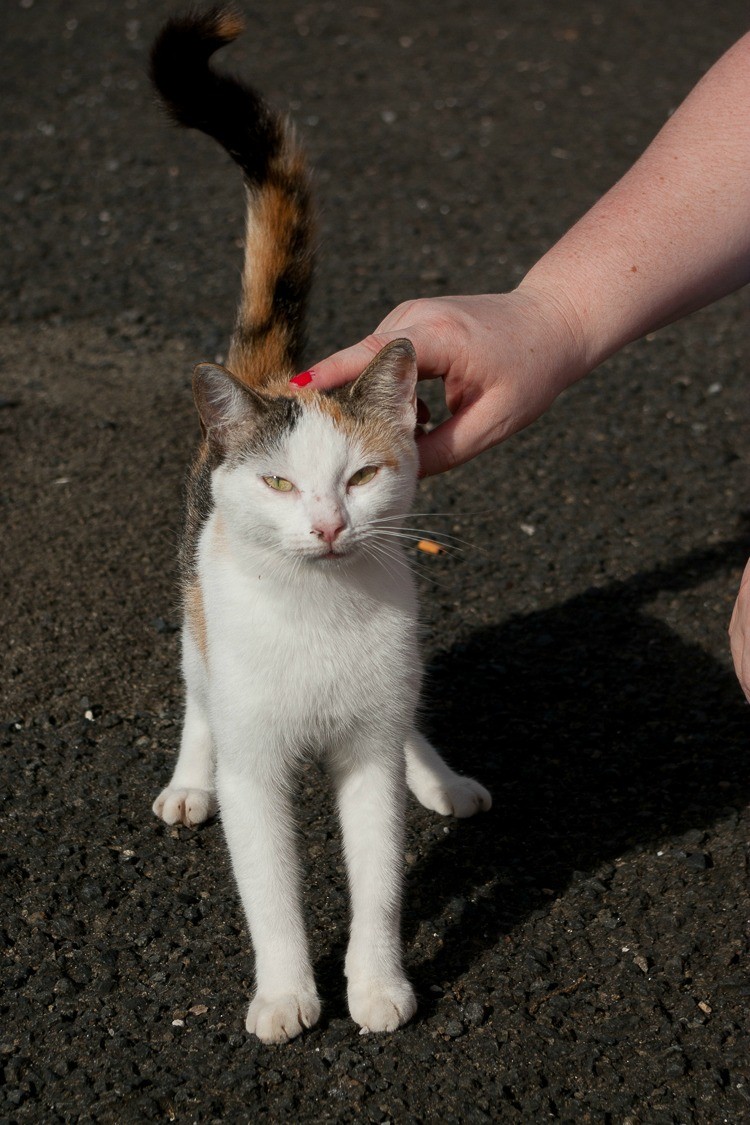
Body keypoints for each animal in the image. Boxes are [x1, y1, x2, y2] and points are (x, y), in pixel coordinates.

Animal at [151, 6, 492, 1044]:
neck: (319, 611)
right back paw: (190, 778)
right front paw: (284, 992)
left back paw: (442, 777)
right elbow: (270, 888)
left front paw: (377, 984)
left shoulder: (365, 753)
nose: (334, 525)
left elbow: (377, 877)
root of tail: (268, 374)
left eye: (363, 474)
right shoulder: (259, 761)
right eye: (277, 483)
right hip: (194, 605)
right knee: (198, 691)